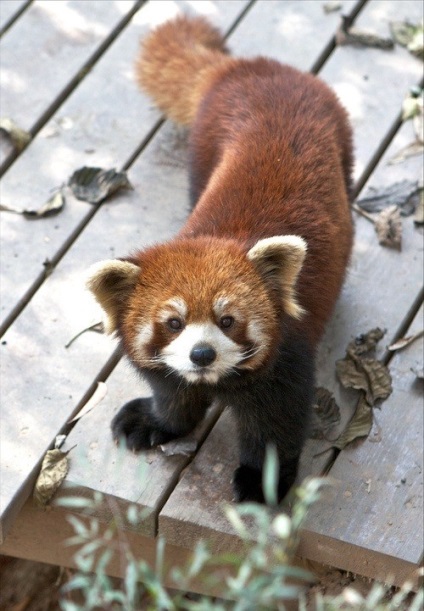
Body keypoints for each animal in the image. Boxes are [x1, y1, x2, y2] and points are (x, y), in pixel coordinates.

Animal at [87, 15, 354, 502]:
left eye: (228, 320)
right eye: (173, 323)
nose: (202, 354)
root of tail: (247, 68)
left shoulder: (286, 363)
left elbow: (275, 426)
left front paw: (262, 482)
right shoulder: (171, 372)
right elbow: (174, 397)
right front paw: (155, 421)